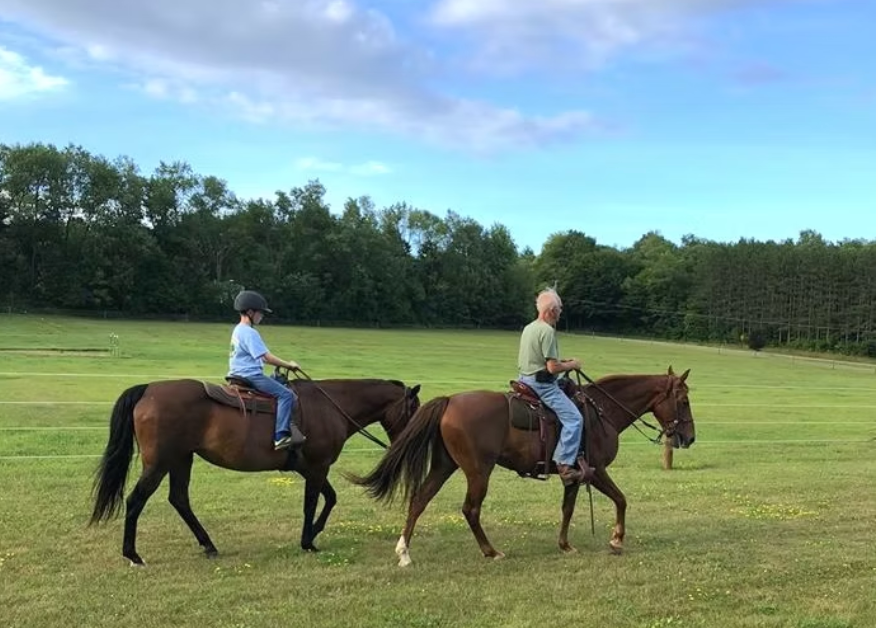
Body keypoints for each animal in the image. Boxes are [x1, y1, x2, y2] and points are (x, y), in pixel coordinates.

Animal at [89, 373, 421, 566]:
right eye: (414, 409)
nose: (411, 440)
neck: (331, 406)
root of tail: (148, 390)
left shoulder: (311, 468)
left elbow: (329, 499)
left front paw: (313, 533)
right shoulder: (317, 467)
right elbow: (313, 503)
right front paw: (308, 541)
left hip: (181, 460)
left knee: (179, 499)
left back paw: (208, 545)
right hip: (159, 464)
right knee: (136, 500)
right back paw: (133, 554)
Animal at [350, 366, 695, 566]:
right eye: (684, 400)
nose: (690, 437)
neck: (602, 411)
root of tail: (449, 401)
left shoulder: (573, 475)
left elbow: (567, 509)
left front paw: (565, 545)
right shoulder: (596, 470)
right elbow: (621, 500)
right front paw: (616, 540)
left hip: (445, 466)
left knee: (419, 500)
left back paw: (404, 553)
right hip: (478, 471)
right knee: (470, 509)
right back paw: (491, 551)